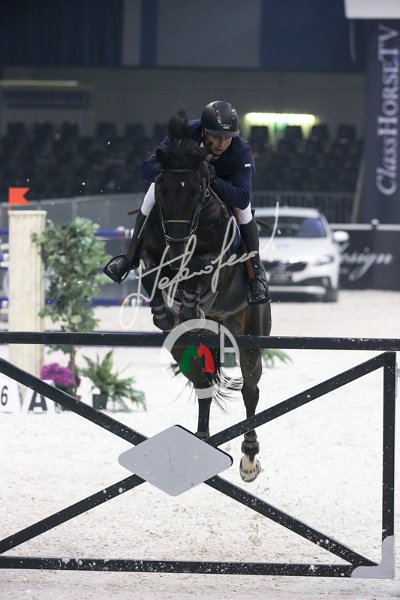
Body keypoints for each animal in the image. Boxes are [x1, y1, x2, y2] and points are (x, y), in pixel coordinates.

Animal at [136, 110, 272, 482]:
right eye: (162, 191)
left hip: (251, 338)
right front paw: (165, 312)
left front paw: (187, 301)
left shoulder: (217, 265)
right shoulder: (152, 253)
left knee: (251, 391)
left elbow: (202, 272)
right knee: (202, 384)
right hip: (185, 348)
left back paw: (249, 459)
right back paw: (200, 442)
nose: (179, 245)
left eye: (197, 192)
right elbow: (150, 271)